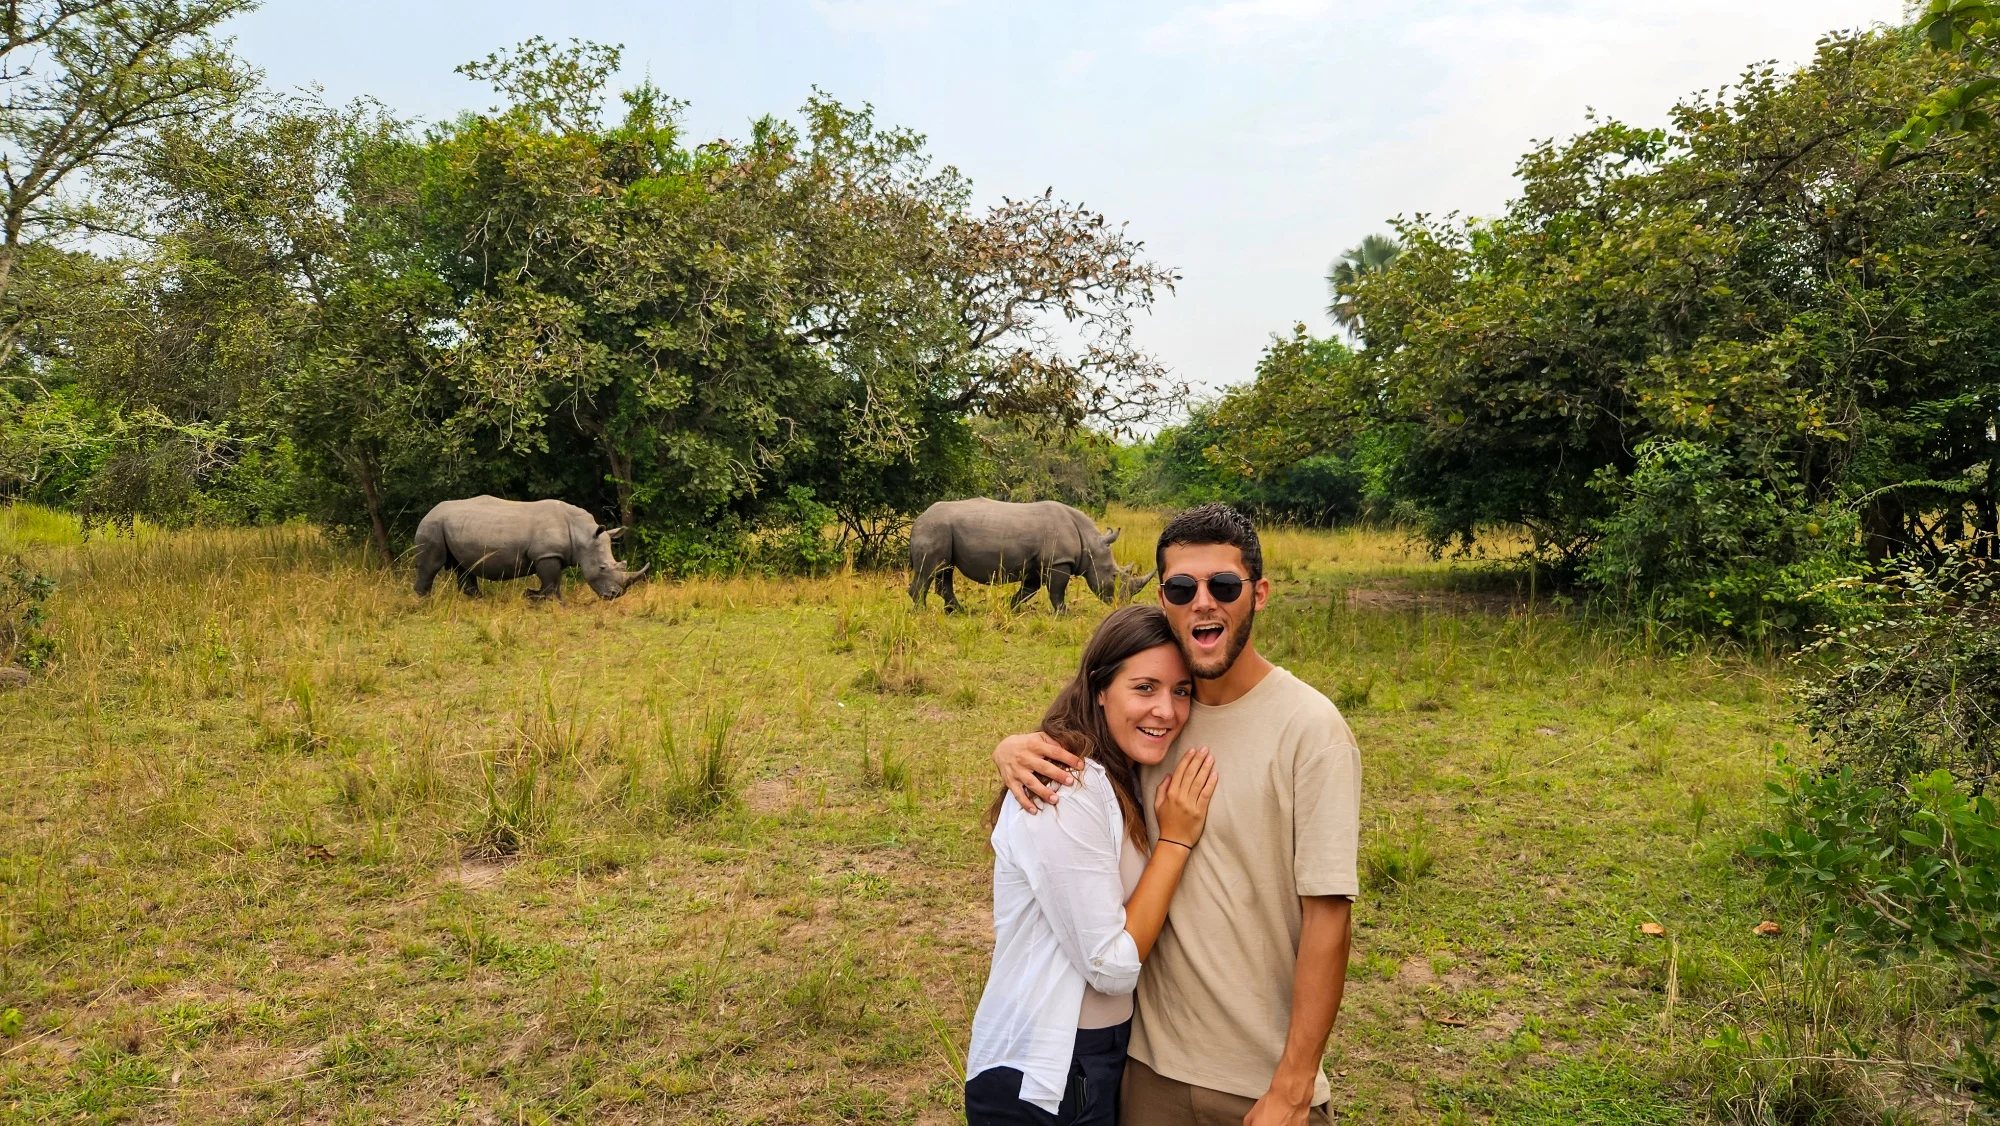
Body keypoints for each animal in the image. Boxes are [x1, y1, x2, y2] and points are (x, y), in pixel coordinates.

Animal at [410, 494, 644, 600]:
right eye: (602, 568)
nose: (616, 595)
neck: (582, 534)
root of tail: (428, 512)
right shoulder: (546, 554)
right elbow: (551, 582)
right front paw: (543, 600)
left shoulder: (553, 555)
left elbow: (553, 582)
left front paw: (537, 596)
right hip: (432, 526)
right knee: (431, 565)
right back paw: (426, 602)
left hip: (452, 526)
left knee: (464, 567)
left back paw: (478, 600)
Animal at [908, 498, 1160, 612]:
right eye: (1115, 576)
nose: (1122, 604)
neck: (1090, 545)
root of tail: (917, 520)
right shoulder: (1059, 561)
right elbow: (1057, 590)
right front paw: (1064, 613)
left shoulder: (1038, 564)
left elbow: (1029, 589)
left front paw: (1011, 608)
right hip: (934, 528)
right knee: (930, 570)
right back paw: (923, 612)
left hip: (942, 531)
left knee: (945, 569)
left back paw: (957, 612)